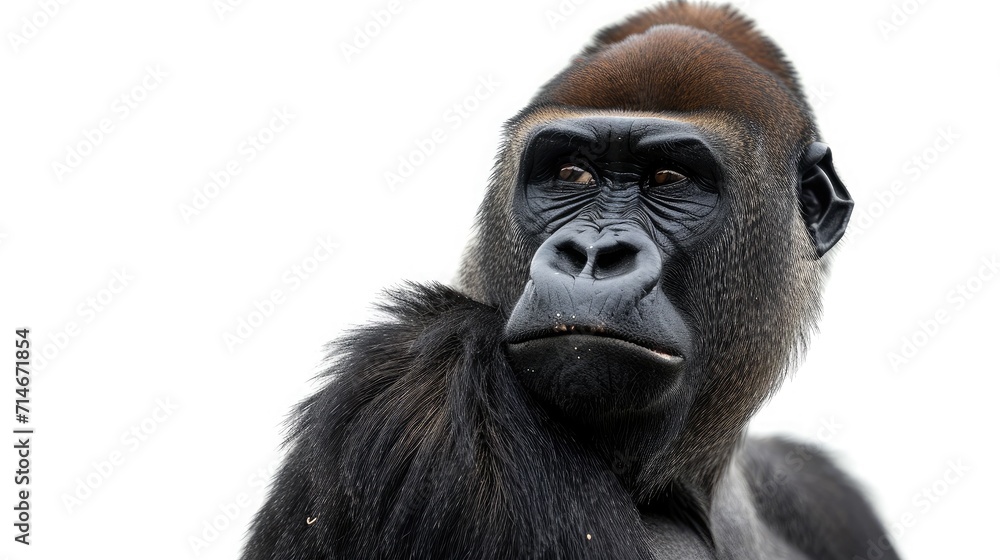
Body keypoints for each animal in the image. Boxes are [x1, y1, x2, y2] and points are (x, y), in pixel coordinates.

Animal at [242, 2, 899, 559]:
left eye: (670, 178)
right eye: (571, 173)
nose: (592, 253)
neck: (693, 482)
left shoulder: (817, 494)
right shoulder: (428, 386)